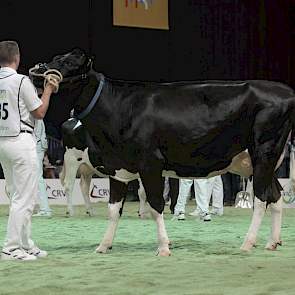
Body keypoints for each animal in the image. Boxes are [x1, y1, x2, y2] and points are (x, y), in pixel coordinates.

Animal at [30, 49, 295, 256]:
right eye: (56, 58)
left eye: (68, 64)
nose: (37, 72)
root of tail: (285, 91)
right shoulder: (117, 168)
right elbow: (114, 209)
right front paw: (104, 245)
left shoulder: (150, 164)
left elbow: (156, 204)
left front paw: (164, 247)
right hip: (263, 162)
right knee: (276, 195)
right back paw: (272, 242)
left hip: (264, 153)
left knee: (261, 197)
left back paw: (248, 243)